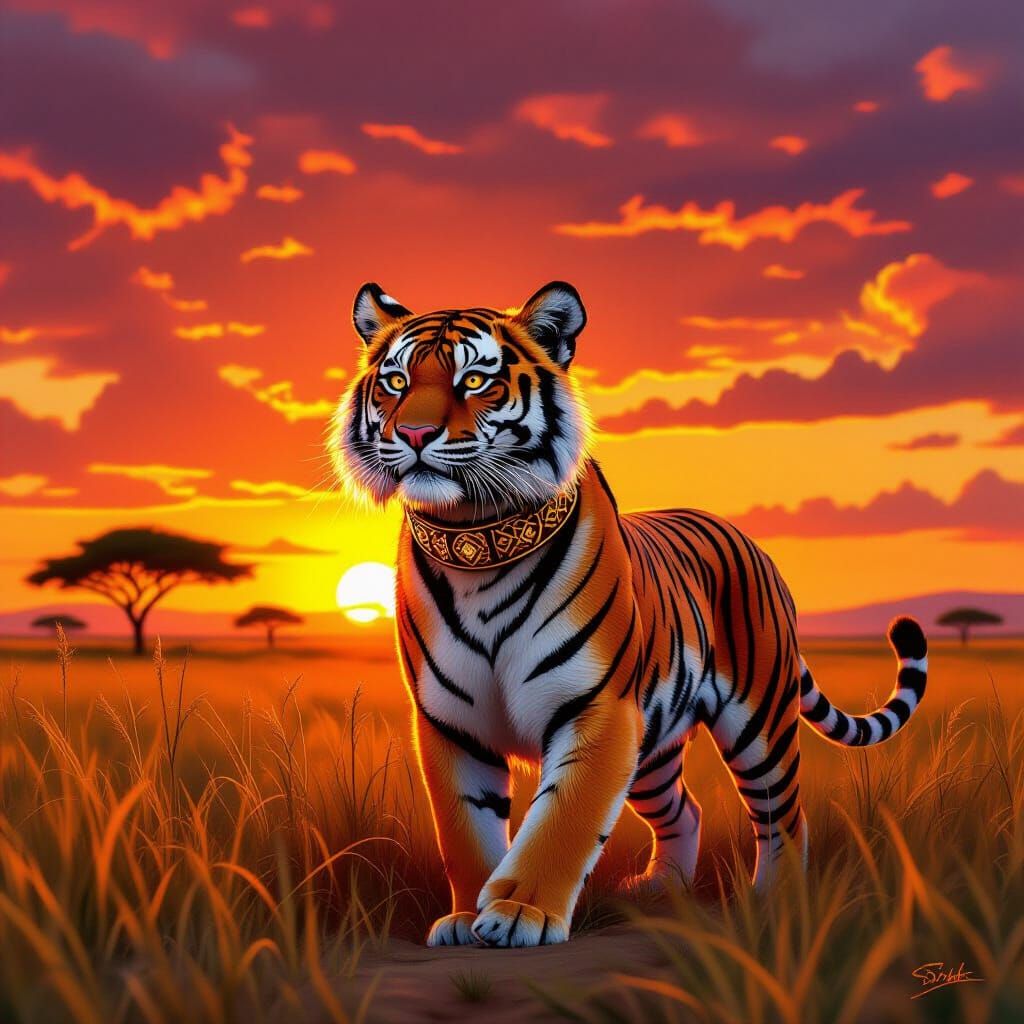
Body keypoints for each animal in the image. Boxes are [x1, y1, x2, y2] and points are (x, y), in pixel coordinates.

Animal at [328, 280, 928, 948]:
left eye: (476, 381)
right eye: (396, 381)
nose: (412, 433)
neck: (476, 540)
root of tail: (747, 539)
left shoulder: (597, 710)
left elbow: (562, 819)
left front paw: (520, 913)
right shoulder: (450, 723)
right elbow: (465, 829)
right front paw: (465, 919)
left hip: (759, 722)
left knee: (782, 816)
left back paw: (777, 901)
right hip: (654, 747)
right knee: (685, 810)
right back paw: (660, 889)